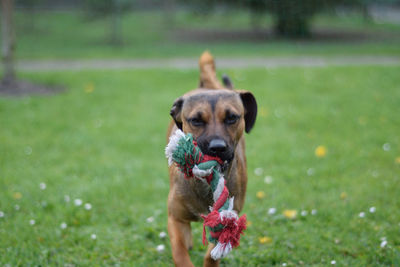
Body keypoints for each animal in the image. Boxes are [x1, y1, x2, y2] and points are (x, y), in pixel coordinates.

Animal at [166, 52, 258, 267]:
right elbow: (179, 252)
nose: (217, 147)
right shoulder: (174, 217)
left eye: (232, 117)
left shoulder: (228, 213)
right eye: (196, 120)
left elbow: (212, 251)